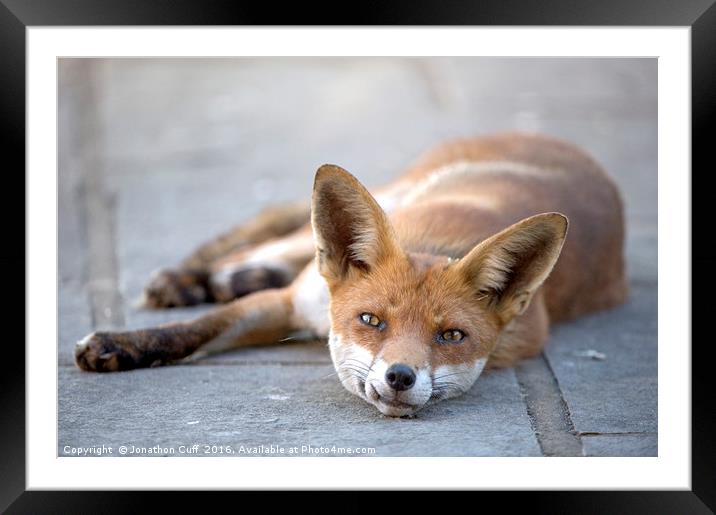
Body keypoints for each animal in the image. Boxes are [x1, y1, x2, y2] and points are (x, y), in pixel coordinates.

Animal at [74, 133, 628, 420]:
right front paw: (122, 345)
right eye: (370, 320)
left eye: (452, 336)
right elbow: (198, 329)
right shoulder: (290, 302)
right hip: (361, 210)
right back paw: (192, 278)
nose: (400, 377)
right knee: (261, 239)